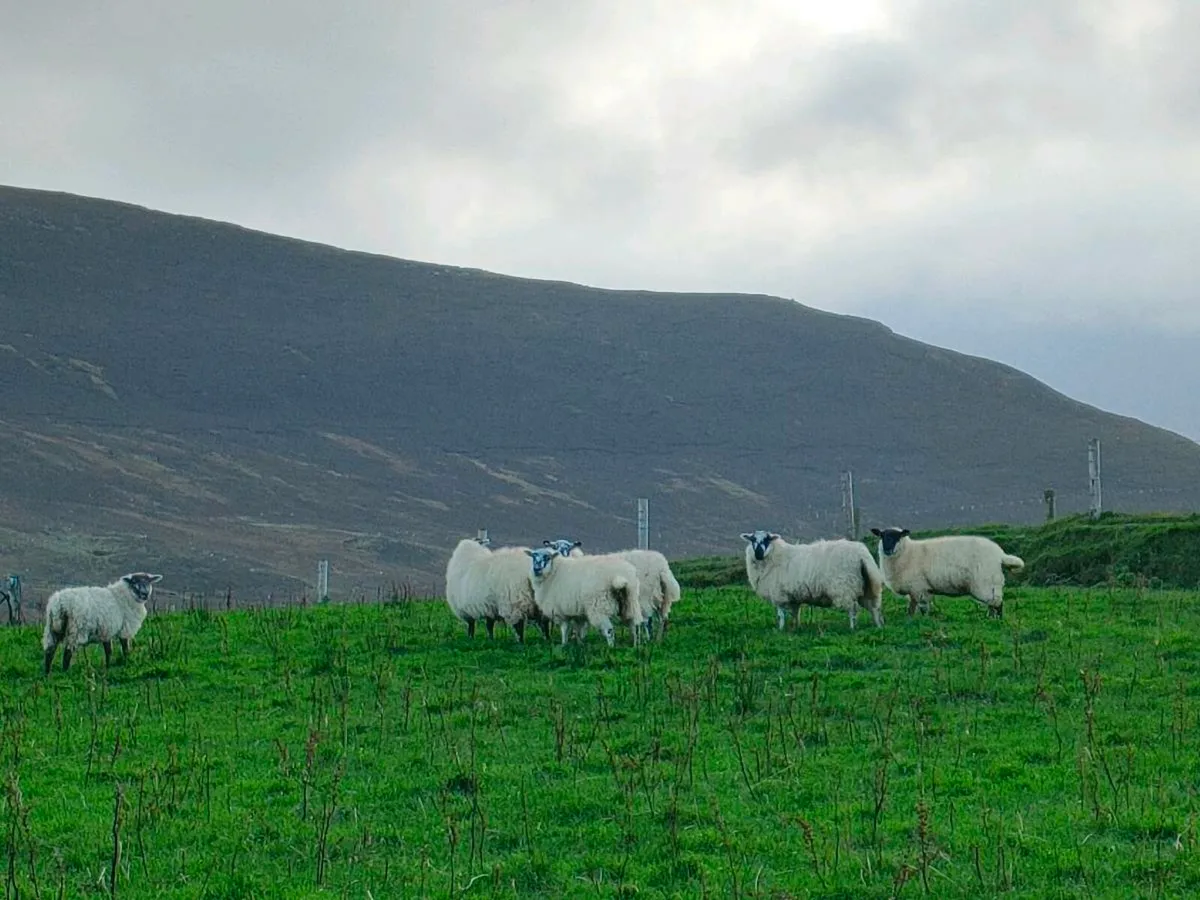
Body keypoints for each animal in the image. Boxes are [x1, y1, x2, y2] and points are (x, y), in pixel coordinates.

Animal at [543, 538, 681, 641]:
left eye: (568, 547)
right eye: (554, 547)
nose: (562, 555)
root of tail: (662, 567)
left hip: (644, 596)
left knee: (647, 620)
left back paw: (648, 639)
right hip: (661, 596)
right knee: (663, 618)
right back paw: (659, 639)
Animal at [741, 531, 883, 631]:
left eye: (767, 539)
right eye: (752, 539)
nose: (758, 553)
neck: (773, 556)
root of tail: (862, 555)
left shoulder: (778, 594)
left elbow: (781, 614)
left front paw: (780, 629)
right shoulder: (793, 596)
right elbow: (795, 613)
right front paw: (796, 627)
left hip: (845, 587)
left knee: (853, 609)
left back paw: (852, 628)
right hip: (869, 585)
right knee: (874, 607)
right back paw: (878, 626)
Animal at [870, 527, 1025, 618]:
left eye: (898, 537)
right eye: (882, 536)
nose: (887, 549)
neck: (907, 552)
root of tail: (1000, 555)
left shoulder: (918, 588)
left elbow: (917, 607)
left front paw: (916, 620)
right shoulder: (920, 589)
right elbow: (918, 607)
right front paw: (917, 619)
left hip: (985, 583)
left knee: (997, 603)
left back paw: (997, 620)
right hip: (992, 584)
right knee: (993, 603)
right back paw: (990, 618)